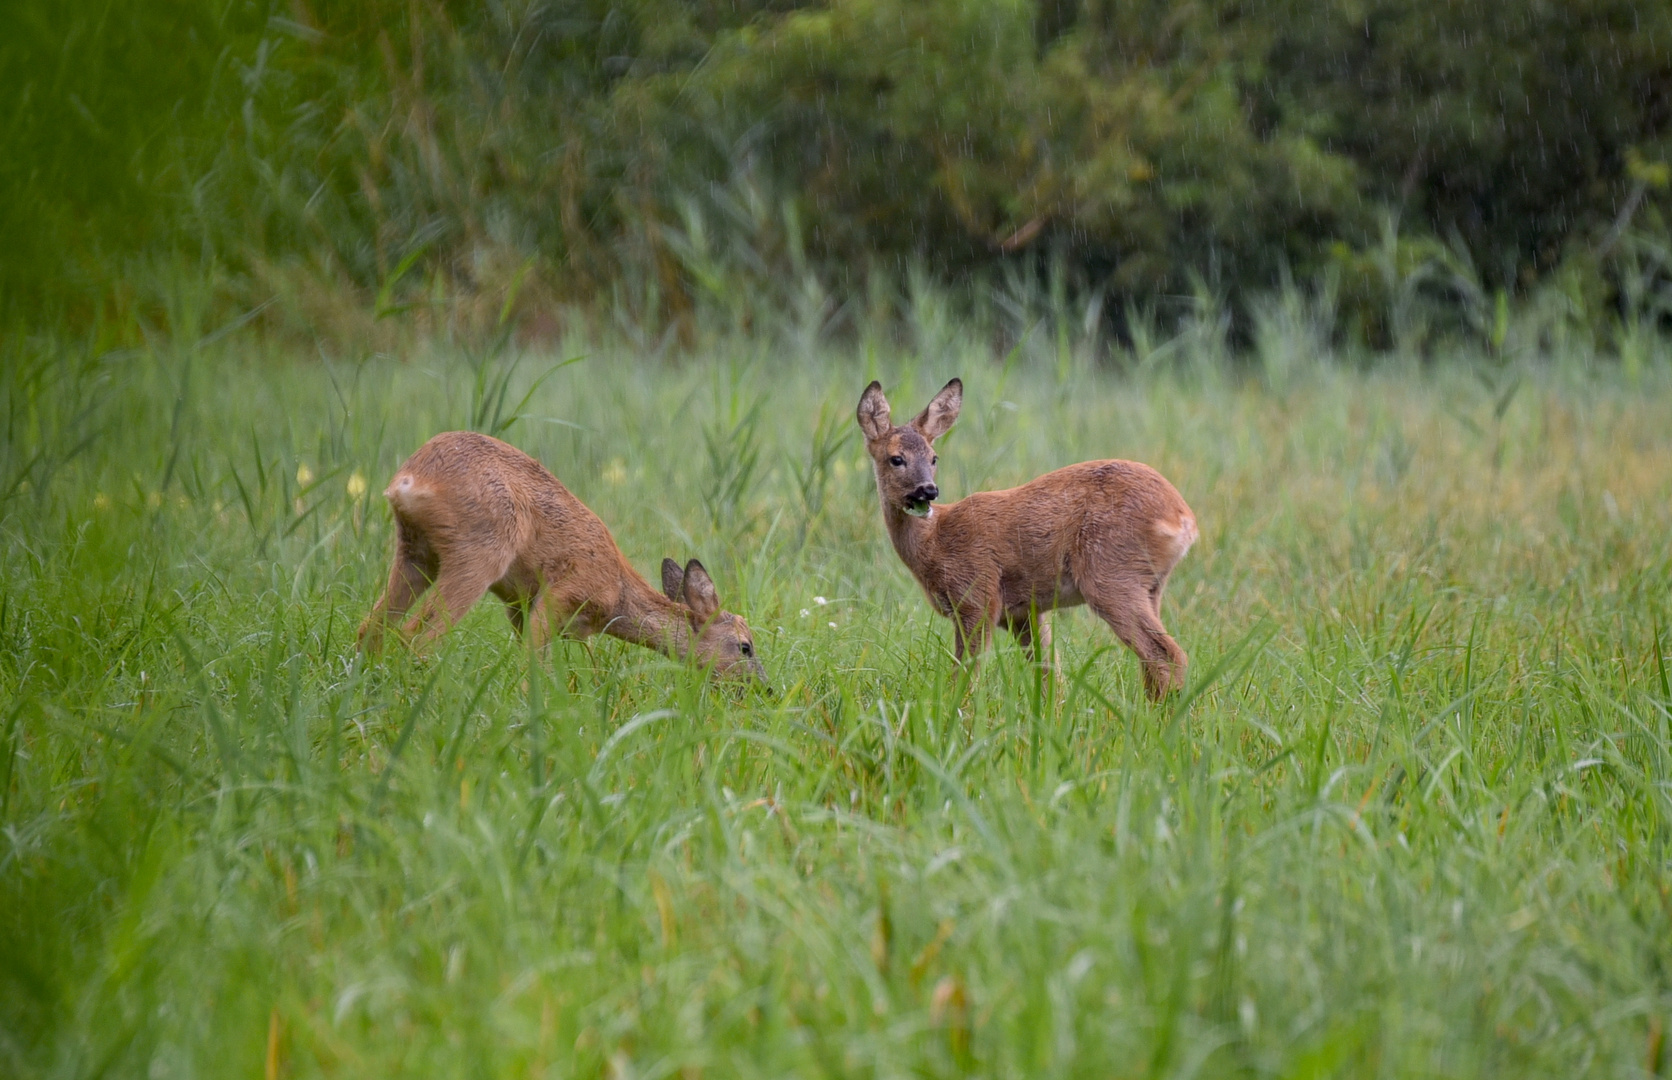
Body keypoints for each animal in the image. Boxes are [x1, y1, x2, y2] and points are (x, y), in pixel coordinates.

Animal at [362, 431, 765, 685]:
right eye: (745, 646)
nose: (764, 688)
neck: (617, 596)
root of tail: (409, 479)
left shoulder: (518, 605)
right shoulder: (562, 593)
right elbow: (533, 662)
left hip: (416, 552)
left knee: (373, 626)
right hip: (480, 551)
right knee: (417, 637)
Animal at [856, 381, 1197, 702]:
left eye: (933, 457)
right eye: (896, 458)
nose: (928, 490)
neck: (934, 541)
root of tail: (1183, 517)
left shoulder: (978, 595)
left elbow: (965, 675)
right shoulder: (1022, 612)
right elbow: (1050, 674)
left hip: (1110, 573)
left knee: (1166, 654)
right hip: (1150, 585)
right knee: (1151, 662)